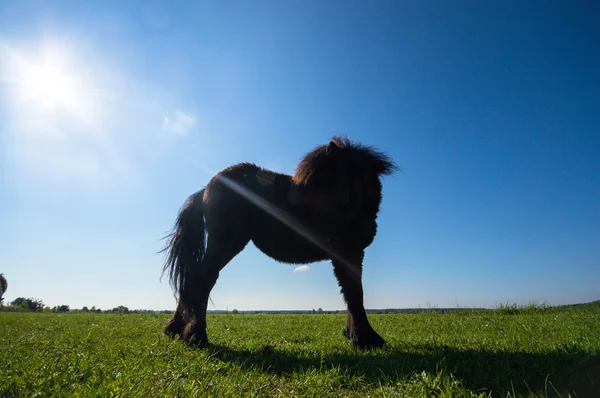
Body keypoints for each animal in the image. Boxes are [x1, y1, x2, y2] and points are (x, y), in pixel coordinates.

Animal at [163, 136, 398, 348]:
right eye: (342, 176)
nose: (361, 227)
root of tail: (205, 189)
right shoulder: (349, 252)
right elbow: (355, 293)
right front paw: (366, 339)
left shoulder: (348, 254)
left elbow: (351, 293)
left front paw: (354, 335)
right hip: (225, 243)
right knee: (202, 278)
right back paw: (196, 336)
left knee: (193, 279)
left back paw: (176, 329)